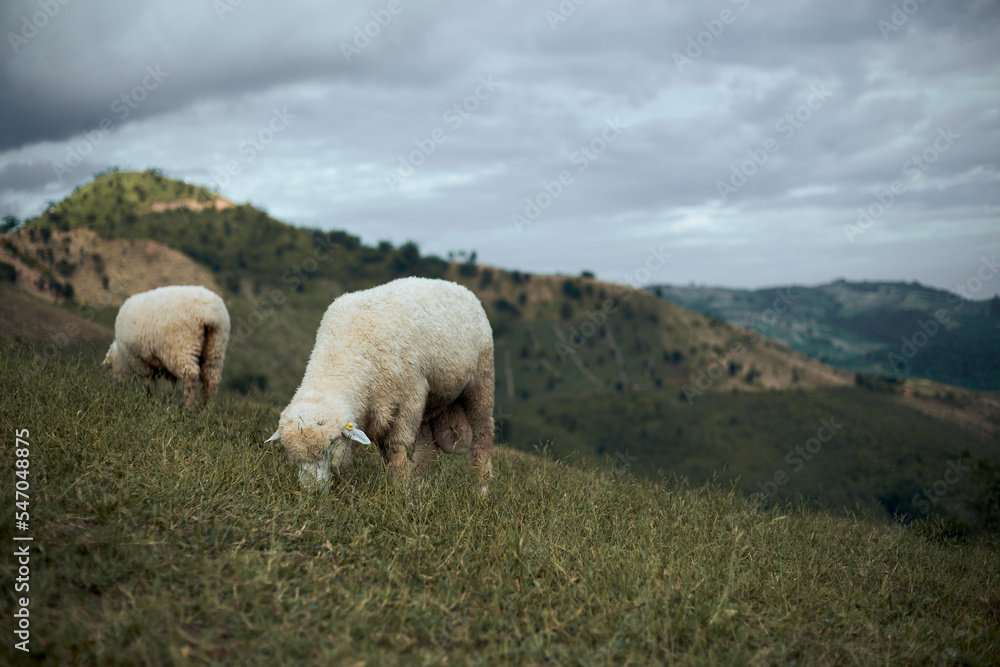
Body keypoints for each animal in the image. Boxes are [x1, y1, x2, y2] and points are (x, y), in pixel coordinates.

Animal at [266, 276, 496, 490]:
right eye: (293, 455)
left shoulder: (409, 397)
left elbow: (396, 446)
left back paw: (482, 486)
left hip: (481, 380)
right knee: (427, 444)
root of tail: (457, 286)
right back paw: (421, 483)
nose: (311, 491)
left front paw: (400, 488)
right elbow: (386, 452)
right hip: (431, 398)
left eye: (331, 444)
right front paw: (397, 483)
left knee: (483, 434)